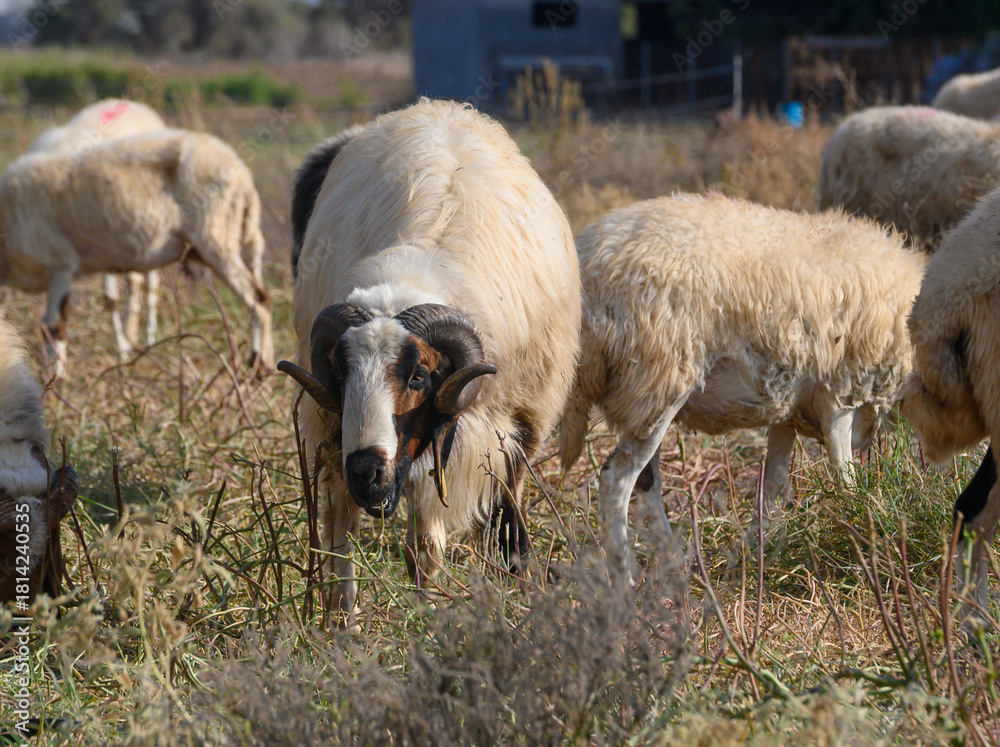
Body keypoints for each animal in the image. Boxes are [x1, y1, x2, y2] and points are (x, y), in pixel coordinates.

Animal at [0, 129, 273, 376]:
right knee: (263, 295)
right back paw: (268, 365)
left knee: (258, 300)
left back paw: (258, 365)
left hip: (216, 237)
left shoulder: (61, 265)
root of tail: (243, 175)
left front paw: (55, 380)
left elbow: (54, 327)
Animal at [28, 99, 168, 360]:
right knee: (132, 282)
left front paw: (123, 353)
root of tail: (132, 103)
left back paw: (147, 339)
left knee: (149, 280)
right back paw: (131, 335)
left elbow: (111, 294)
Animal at [559, 193, 925, 582]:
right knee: (616, 478)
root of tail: (590, 259)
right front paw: (860, 527)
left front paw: (755, 553)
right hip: (661, 379)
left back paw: (676, 566)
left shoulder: (787, 410)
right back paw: (627, 576)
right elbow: (844, 477)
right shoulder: (840, 395)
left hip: (645, 396)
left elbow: (773, 485)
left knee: (645, 482)